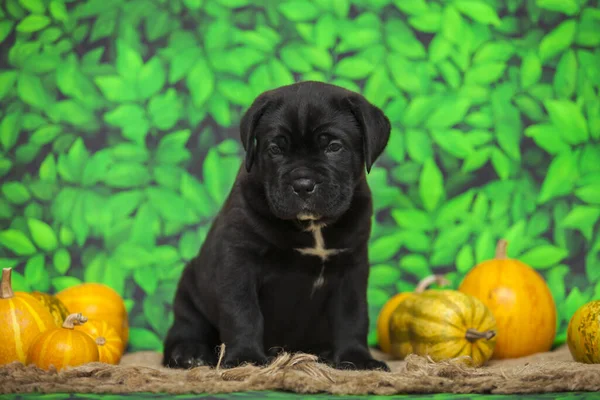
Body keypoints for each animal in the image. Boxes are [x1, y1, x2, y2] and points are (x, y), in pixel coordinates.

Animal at [162, 81, 392, 372]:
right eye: (275, 149)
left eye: (334, 147)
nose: (303, 184)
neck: (312, 226)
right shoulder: (239, 260)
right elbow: (243, 311)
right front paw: (245, 358)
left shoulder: (351, 266)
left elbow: (352, 314)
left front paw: (356, 358)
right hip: (190, 289)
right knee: (186, 326)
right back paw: (189, 353)